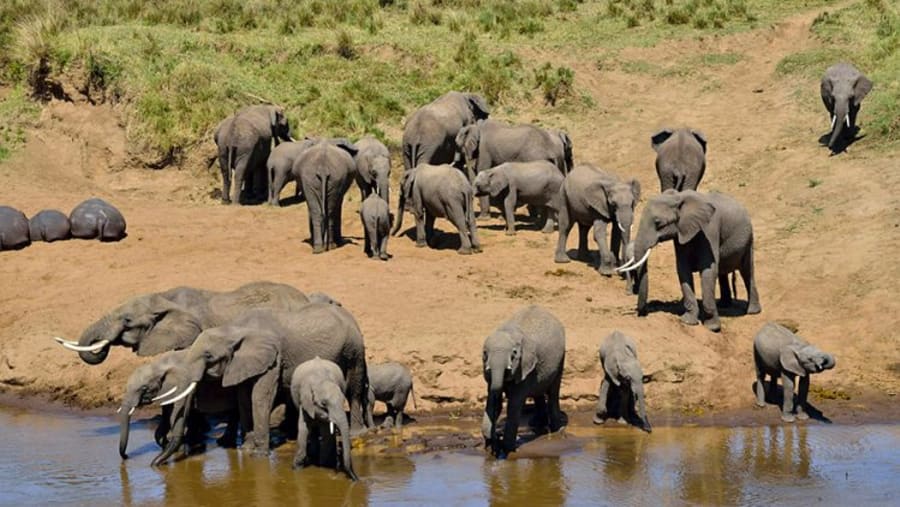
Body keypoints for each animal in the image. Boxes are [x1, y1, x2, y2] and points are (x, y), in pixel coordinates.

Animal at [151, 303, 371, 464]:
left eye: (208, 356)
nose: (155, 464)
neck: (235, 329)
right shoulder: (242, 363)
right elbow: (243, 398)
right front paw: (247, 448)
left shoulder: (273, 358)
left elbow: (260, 396)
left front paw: (259, 455)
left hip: (354, 349)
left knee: (354, 388)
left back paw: (356, 432)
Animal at [482, 305, 566, 458]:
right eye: (485, 354)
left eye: (514, 354)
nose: (497, 435)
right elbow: (492, 399)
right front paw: (492, 445)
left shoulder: (525, 366)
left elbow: (514, 404)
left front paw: (507, 450)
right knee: (538, 391)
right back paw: (537, 425)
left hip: (561, 357)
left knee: (553, 391)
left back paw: (557, 430)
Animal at [619, 190, 761, 332]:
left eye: (658, 223)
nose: (642, 314)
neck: (678, 197)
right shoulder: (681, 233)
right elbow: (683, 269)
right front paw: (688, 321)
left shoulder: (709, 230)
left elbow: (708, 270)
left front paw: (712, 327)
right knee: (723, 272)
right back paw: (724, 305)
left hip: (749, 240)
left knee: (747, 271)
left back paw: (752, 311)